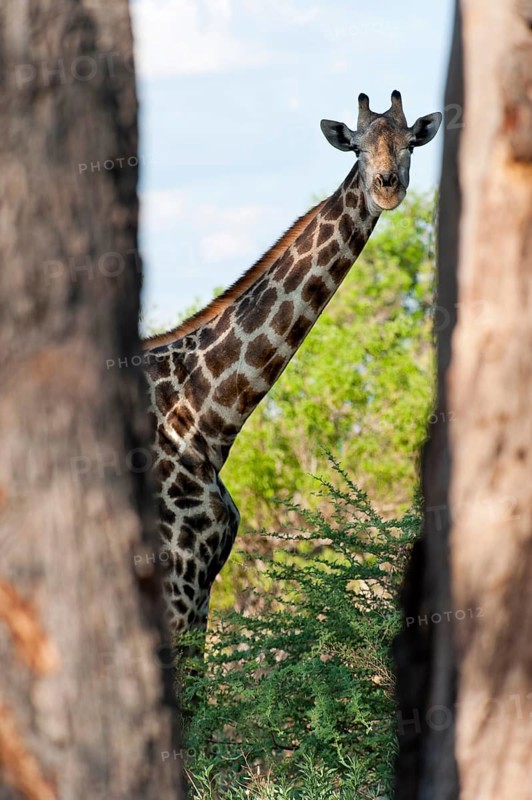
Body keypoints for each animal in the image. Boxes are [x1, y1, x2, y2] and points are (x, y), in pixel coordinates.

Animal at [143, 90, 442, 634]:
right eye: (356, 148)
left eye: (411, 143)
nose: (386, 188)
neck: (204, 418)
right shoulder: (176, 585)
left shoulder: (200, 594)